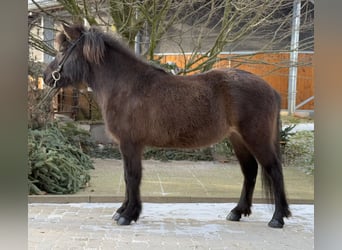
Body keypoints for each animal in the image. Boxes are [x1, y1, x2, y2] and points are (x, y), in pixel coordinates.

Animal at [43, 23, 292, 229]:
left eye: (62, 50)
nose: (46, 77)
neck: (126, 86)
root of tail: (270, 89)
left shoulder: (130, 144)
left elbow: (132, 176)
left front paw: (128, 215)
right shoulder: (127, 145)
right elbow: (127, 177)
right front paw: (122, 211)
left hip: (255, 138)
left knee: (274, 170)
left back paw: (277, 218)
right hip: (237, 139)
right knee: (250, 172)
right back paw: (237, 212)